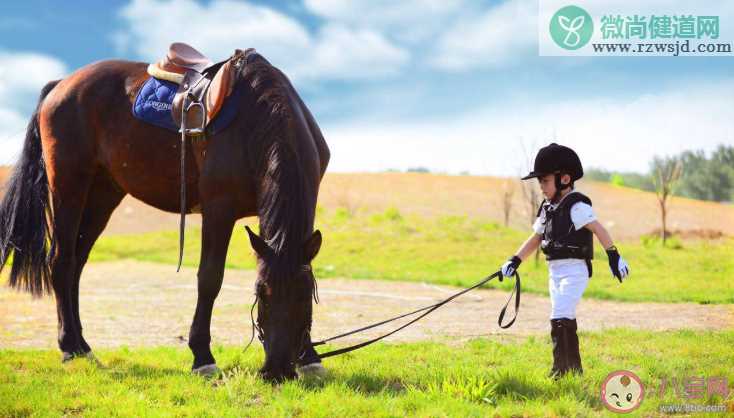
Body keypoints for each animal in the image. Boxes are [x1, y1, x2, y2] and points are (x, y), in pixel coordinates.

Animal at [0, 49, 330, 382]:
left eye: (305, 295)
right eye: (260, 292)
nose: (278, 370)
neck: (259, 119)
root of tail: (60, 85)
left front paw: (310, 357)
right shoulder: (219, 209)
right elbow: (210, 279)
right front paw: (202, 357)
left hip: (103, 193)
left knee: (77, 265)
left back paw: (82, 346)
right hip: (69, 186)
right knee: (62, 261)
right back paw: (68, 346)